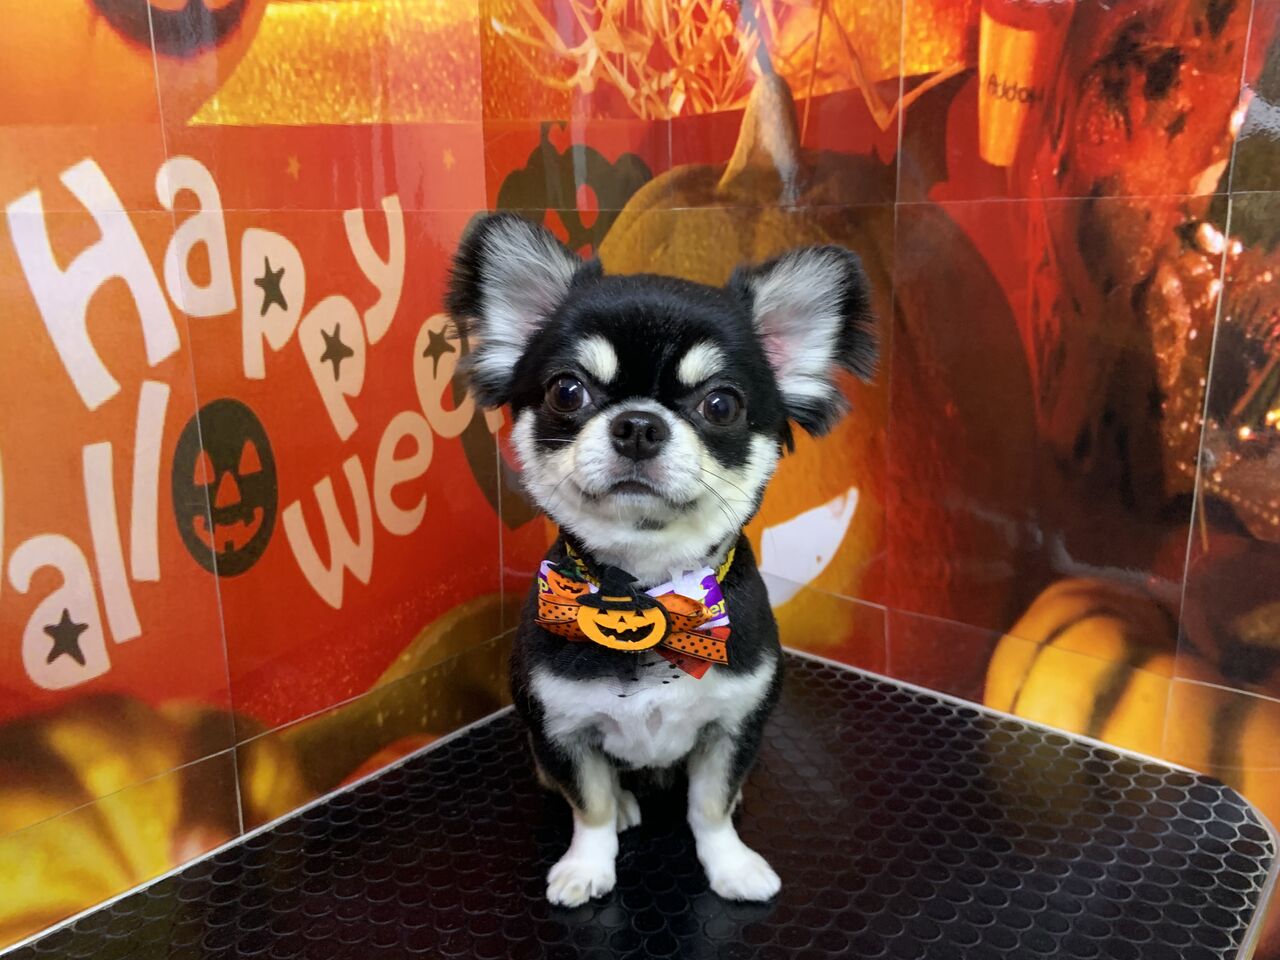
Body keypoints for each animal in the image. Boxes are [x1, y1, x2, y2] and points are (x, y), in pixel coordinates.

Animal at [446, 213, 876, 908]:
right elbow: (589, 802)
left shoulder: (734, 726)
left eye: (722, 404)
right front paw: (587, 866)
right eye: (567, 391)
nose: (639, 424)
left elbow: (711, 805)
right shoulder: (560, 730)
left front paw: (731, 866)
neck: (646, 586)